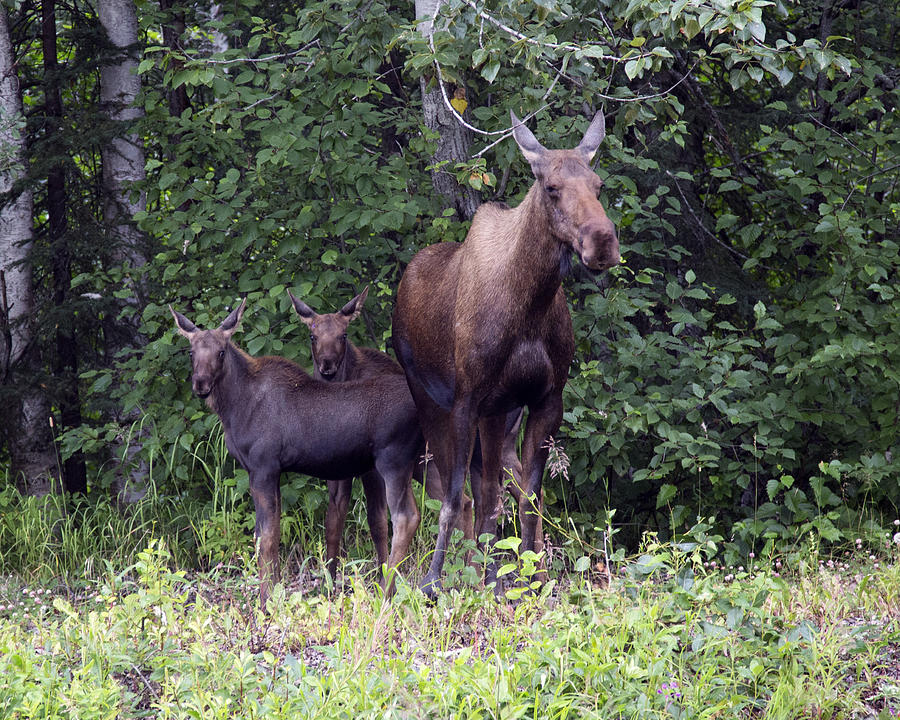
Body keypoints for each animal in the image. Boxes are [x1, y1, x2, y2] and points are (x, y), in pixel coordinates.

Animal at [172, 298, 422, 608]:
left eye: (221, 351)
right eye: (191, 352)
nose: (201, 384)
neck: (233, 407)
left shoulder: (263, 467)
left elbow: (265, 538)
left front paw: (266, 602)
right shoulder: (274, 471)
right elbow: (273, 533)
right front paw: (275, 592)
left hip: (394, 461)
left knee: (406, 517)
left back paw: (386, 595)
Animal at [394, 111, 620, 596]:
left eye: (598, 184)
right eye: (550, 187)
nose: (602, 241)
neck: (529, 306)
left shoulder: (545, 400)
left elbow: (529, 497)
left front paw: (529, 582)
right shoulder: (467, 400)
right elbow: (456, 495)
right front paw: (435, 581)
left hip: (501, 415)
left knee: (494, 490)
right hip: (430, 400)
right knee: (465, 492)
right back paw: (466, 570)